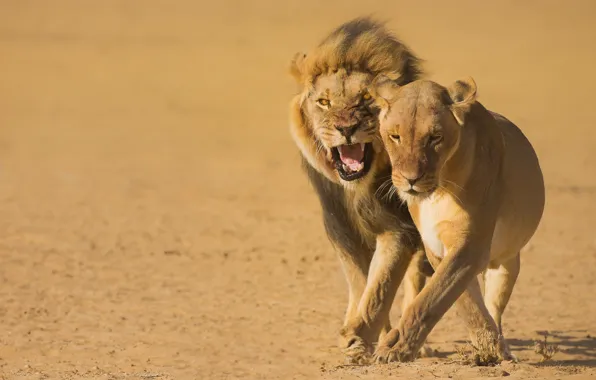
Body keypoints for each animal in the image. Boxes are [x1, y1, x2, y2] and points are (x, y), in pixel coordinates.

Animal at [288, 17, 434, 362]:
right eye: (324, 102)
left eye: (366, 99)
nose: (346, 128)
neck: (358, 189)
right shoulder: (341, 231)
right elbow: (361, 283)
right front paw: (361, 336)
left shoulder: (398, 229)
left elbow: (380, 286)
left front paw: (358, 337)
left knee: (416, 277)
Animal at [372, 76, 544, 362]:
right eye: (395, 136)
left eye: (435, 137)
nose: (410, 179)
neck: (440, 189)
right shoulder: (436, 249)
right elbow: (461, 302)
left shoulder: (471, 247)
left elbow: (429, 301)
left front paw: (398, 349)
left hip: (506, 263)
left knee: (494, 306)